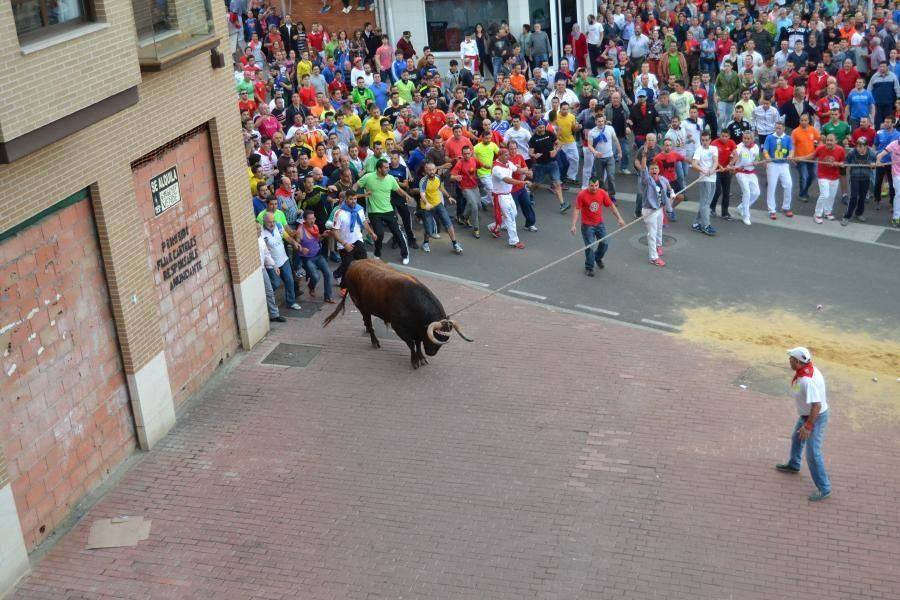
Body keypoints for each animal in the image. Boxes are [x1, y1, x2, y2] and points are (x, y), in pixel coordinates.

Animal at [322, 258, 474, 366]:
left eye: (444, 339)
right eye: (436, 336)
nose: (431, 353)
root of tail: (353, 265)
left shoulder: (417, 329)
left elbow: (418, 343)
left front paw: (421, 358)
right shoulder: (399, 327)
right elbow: (411, 343)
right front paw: (415, 361)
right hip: (362, 306)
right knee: (369, 323)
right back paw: (375, 342)